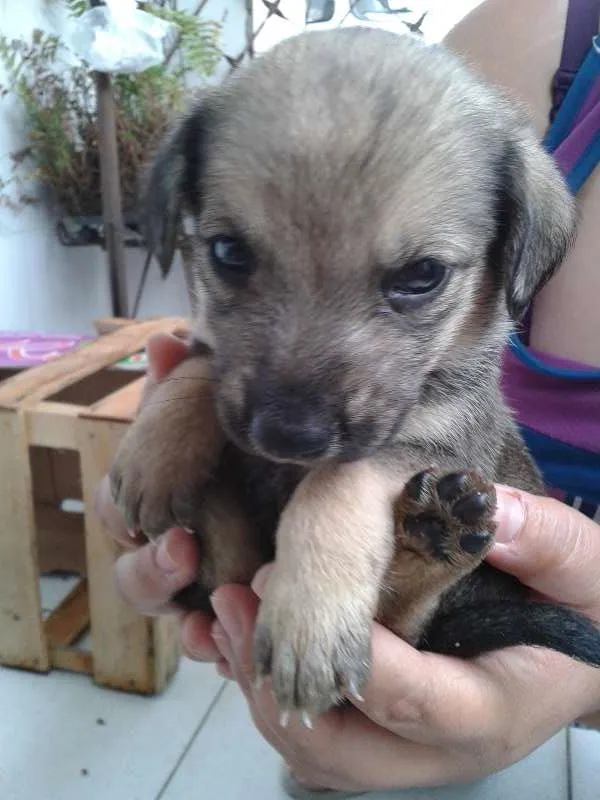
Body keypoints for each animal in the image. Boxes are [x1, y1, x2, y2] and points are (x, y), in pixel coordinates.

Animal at [109, 29, 600, 720]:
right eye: (227, 252)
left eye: (423, 276)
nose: (287, 437)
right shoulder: (222, 361)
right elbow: (201, 365)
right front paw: (155, 454)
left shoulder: (438, 437)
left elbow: (338, 483)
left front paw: (307, 622)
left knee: (406, 626)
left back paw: (439, 536)